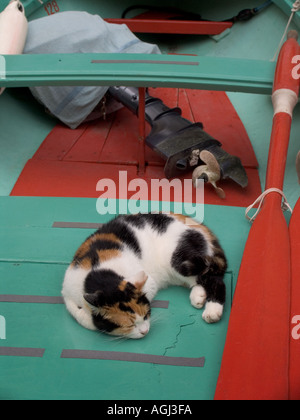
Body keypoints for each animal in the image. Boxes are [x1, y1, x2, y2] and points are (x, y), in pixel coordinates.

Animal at [62, 215, 226, 340]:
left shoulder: (148, 281)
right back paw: (198, 296)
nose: (144, 331)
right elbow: (76, 312)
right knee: (198, 279)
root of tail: (199, 225)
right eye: (129, 325)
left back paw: (213, 310)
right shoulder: (67, 291)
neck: (97, 273)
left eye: (146, 314)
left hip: (180, 259)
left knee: (215, 279)